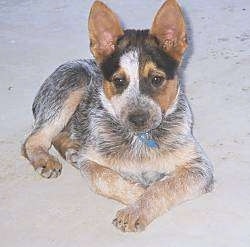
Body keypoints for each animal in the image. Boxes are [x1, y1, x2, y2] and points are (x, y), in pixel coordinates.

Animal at [22, 0, 213, 232]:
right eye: (119, 81)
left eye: (156, 79)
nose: (137, 119)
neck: (140, 140)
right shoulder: (90, 161)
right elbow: (104, 178)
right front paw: (137, 194)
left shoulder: (199, 167)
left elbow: (164, 186)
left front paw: (137, 208)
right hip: (73, 83)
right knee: (33, 139)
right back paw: (45, 160)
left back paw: (71, 150)